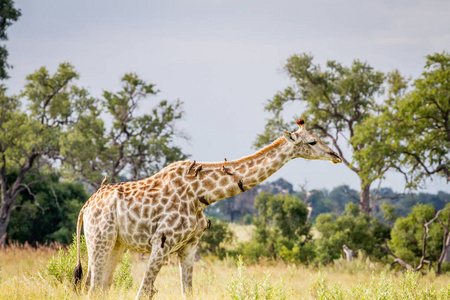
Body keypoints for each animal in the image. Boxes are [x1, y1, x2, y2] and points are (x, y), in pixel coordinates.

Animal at [73, 118, 342, 298]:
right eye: (313, 141)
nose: (336, 155)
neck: (202, 194)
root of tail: (85, 207)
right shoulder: (161, 243)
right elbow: (144, 292)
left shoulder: (189, 246)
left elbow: (187, 293)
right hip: (99, 239)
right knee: (93, 288)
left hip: (116, 244)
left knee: (101, 288)